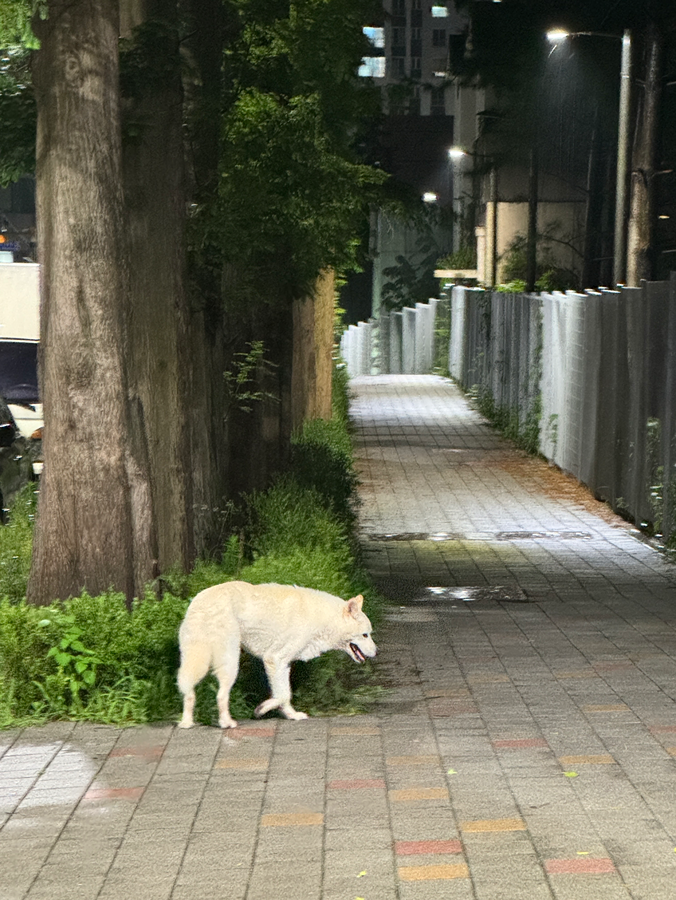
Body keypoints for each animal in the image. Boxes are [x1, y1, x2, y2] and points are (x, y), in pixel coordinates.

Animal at [176, 580, 374, 728]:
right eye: (365, 635)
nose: (376, 652)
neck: (323, 619)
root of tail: (200, 605)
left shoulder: (283, 665)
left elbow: (284, 695)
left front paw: (291, 715)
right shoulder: (274, 659)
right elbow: (282, 696)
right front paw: (262, 709)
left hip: (196, 661)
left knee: (189, 693)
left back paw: (186, 723)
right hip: (230, 663)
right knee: (220, 695)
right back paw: (226, 722)